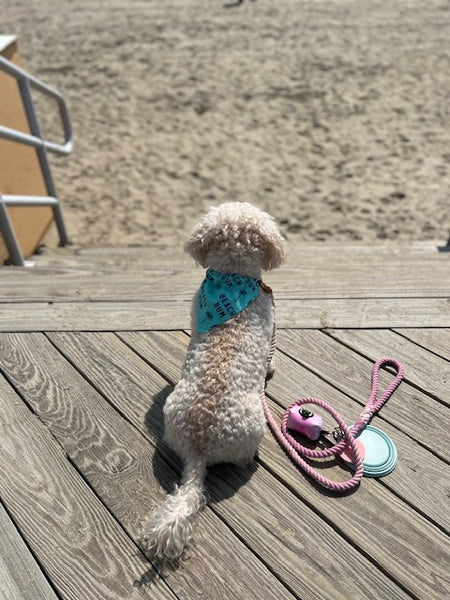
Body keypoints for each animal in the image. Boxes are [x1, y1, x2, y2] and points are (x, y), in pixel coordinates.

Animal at [142, 203, 286, 564]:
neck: (232, 277)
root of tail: (199, 447)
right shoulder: (271, 327)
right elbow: (270, 357)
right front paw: (272, 368)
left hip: (172, 409)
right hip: (254, 425)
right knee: (244, 457)